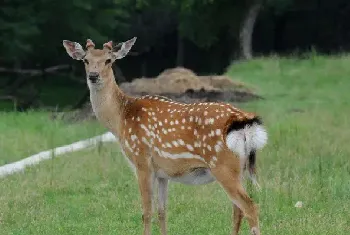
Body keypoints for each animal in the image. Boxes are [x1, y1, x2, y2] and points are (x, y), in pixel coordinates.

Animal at [63, 36, 268, 235]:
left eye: (108, 60)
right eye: (86, 60)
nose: (93, 76)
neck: (120, 120)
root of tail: (244, 121)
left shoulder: (142, 160)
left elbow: (146, 211)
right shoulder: (163, 173)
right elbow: (162, 211)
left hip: (222, 164)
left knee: (250, 207)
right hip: (241, 168)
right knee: (238, 210)